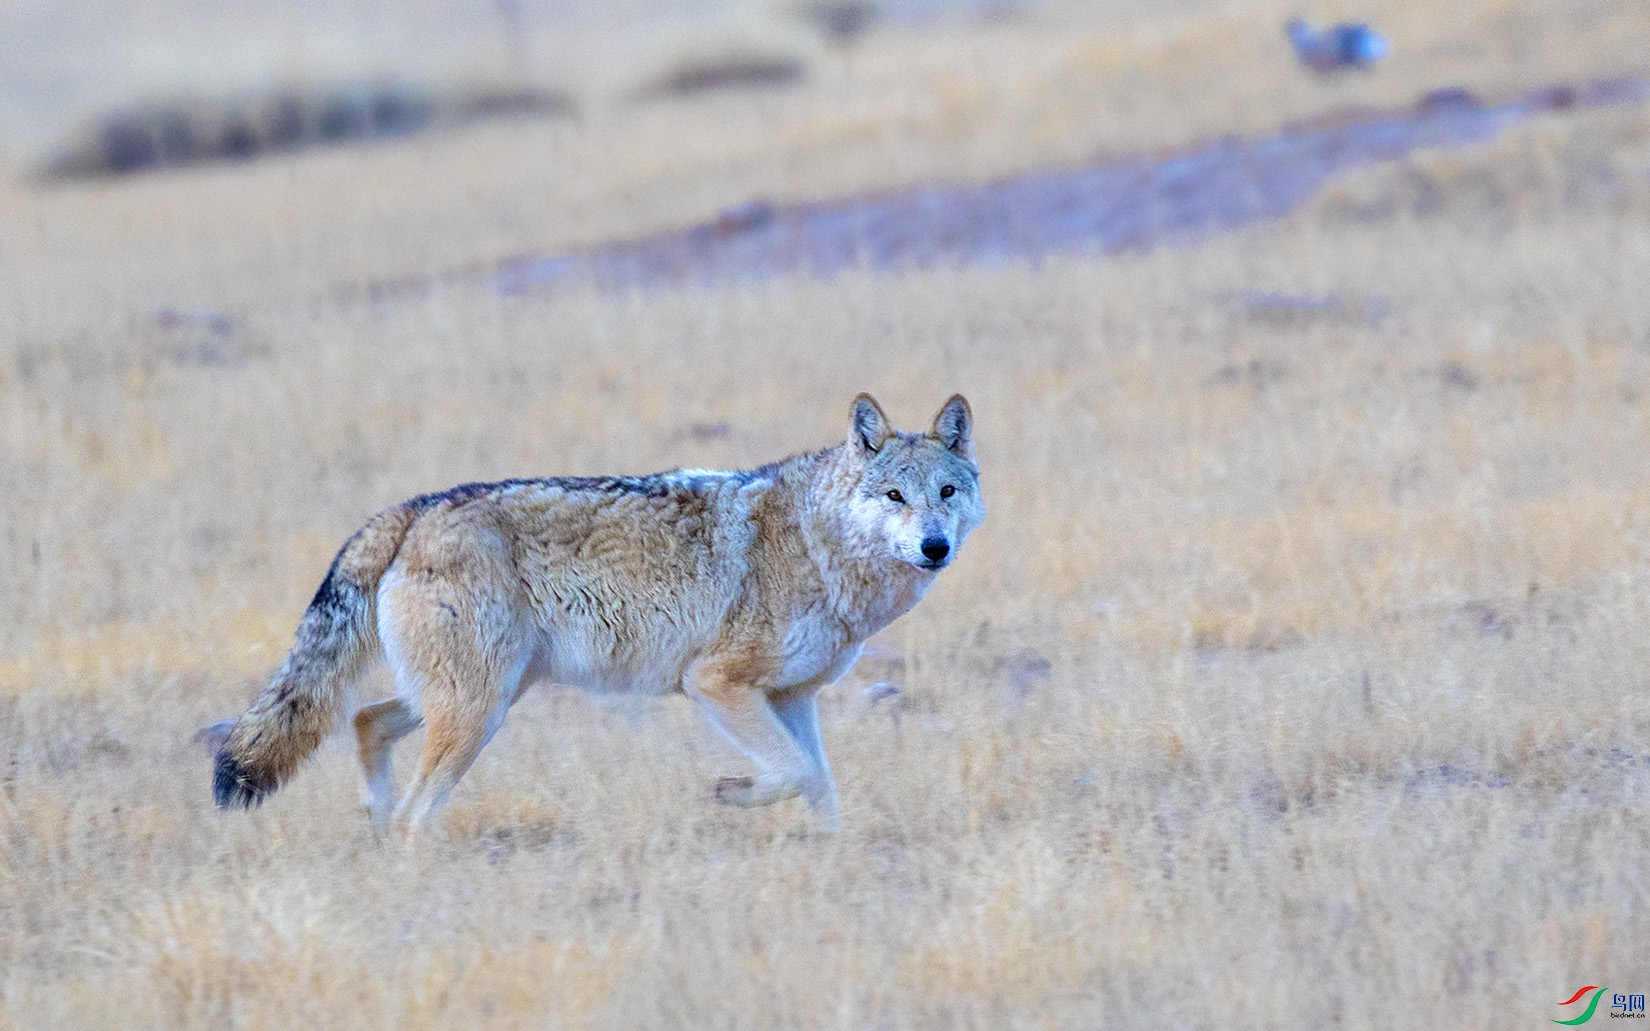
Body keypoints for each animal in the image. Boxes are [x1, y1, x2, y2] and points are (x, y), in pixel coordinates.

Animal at [204, 392, 976, 828]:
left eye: (946, 491)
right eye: (895, 496)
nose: (935, 547)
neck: (818, 545)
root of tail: (414, 508)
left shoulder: (791, 699)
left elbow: (822, 788)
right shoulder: (715, 684)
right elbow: (795, 775)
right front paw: (733, 791)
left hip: (486, 699)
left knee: (365, 721)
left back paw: (375, 822)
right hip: (477, 712)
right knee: (417, 807)